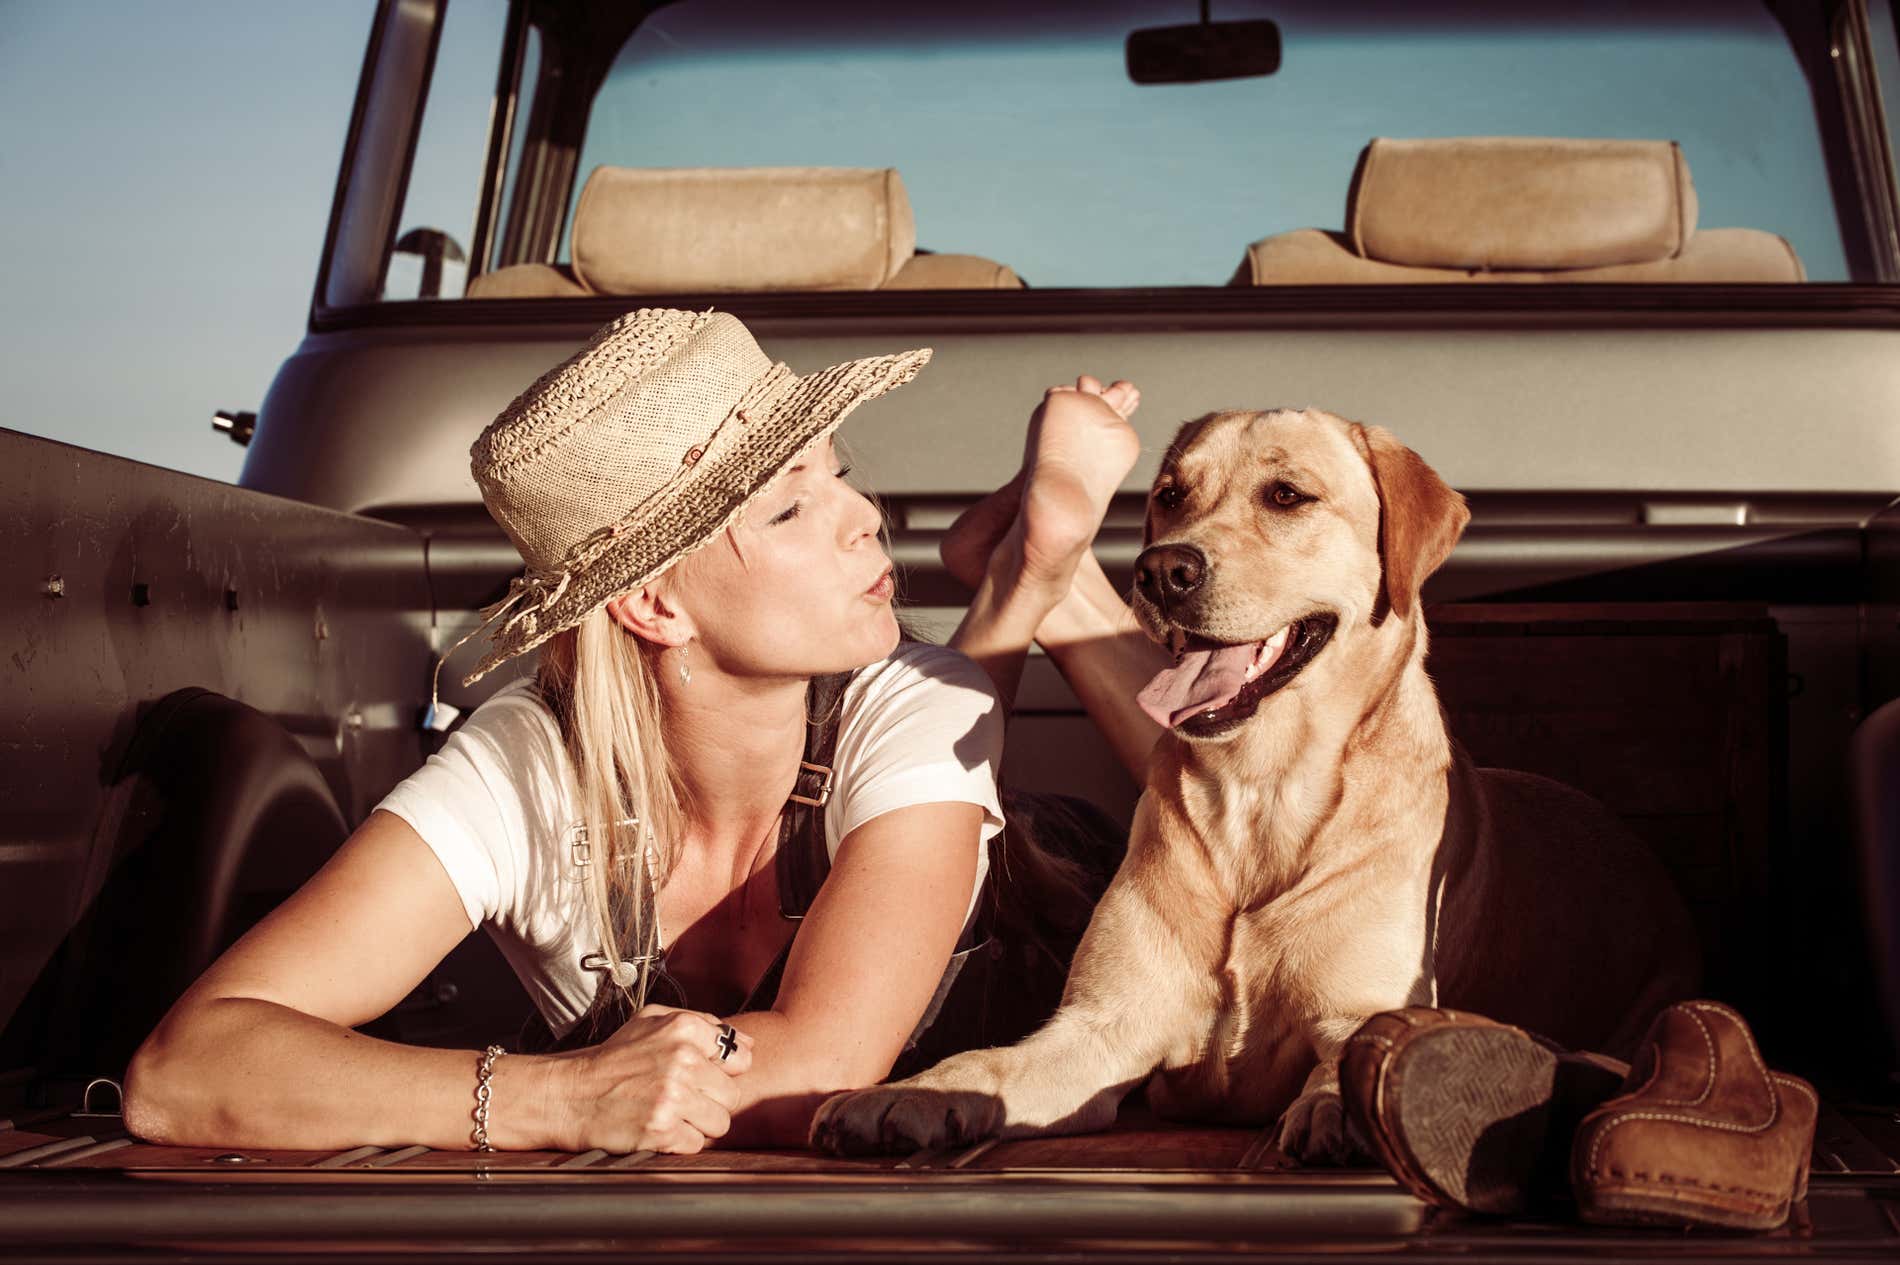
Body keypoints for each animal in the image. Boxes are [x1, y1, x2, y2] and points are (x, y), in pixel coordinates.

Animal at [809, 408, 1702, 1154]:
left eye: (1287, 495)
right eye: (1171, 495)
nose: (1162, 569)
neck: (1262, 786)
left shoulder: (1358, 1010)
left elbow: (1351, 1056)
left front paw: (1341, 1109)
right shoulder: (1102, 1024)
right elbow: (988, 1065)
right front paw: (910, 1094)